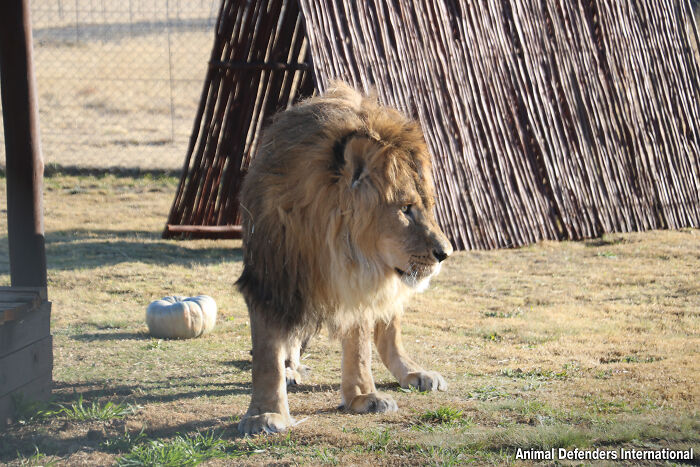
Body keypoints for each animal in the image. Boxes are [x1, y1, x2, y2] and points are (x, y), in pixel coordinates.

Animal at [236, 82, 453, 435]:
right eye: (405, 208)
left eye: (427, 206)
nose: (446, 253)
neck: (333, 247)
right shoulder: (271, 278)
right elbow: (268, 355)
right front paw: (265, 414)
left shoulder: (360, 280)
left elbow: (361, 345)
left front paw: (363, 397)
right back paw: (291, 371)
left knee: (389, 332)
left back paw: (413, 373)